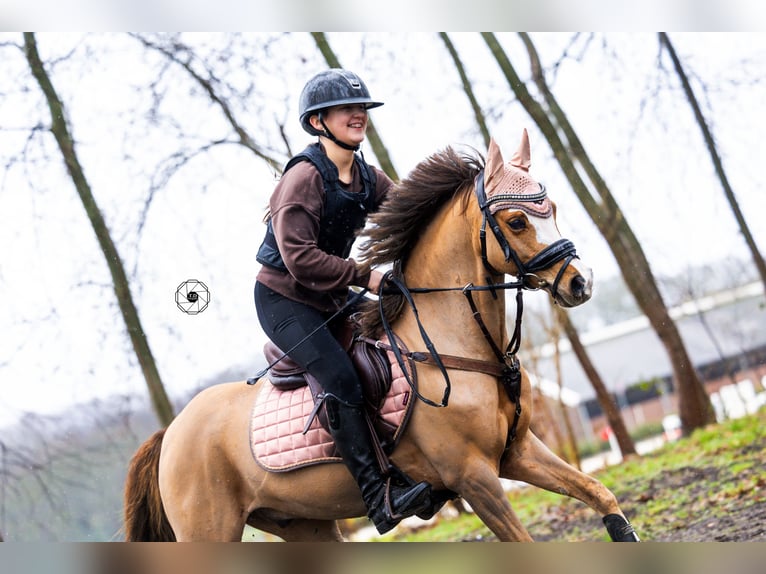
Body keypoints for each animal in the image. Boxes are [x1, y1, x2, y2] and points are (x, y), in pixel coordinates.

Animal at [123, 131, 640, 542]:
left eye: (552, 209)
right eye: (517, 221)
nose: (581, 282)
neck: (455, 349)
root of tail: (171, 432)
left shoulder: (519, 452)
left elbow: (601, 494)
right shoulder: (474, 478)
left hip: (304, 523)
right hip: (210, 530)